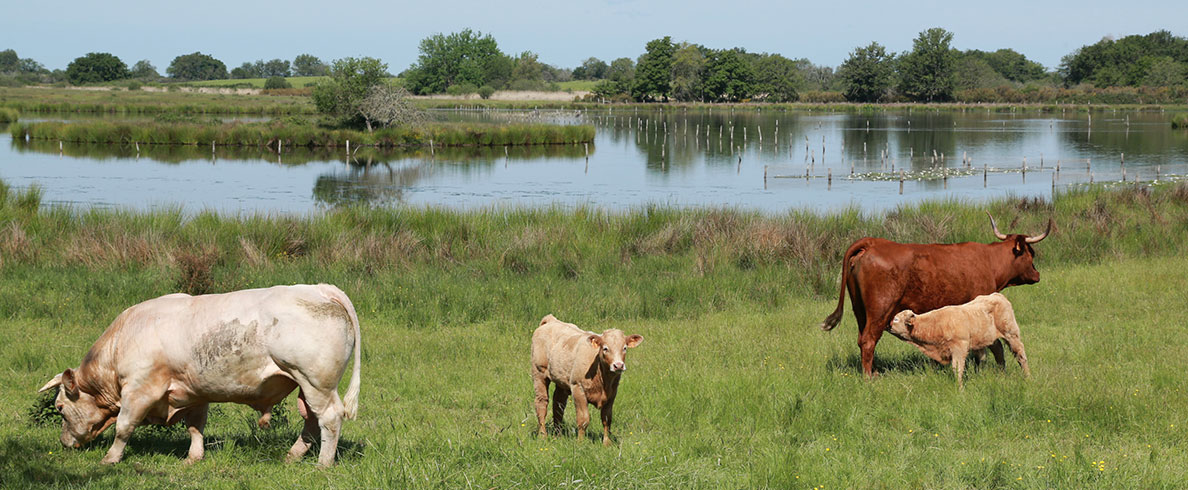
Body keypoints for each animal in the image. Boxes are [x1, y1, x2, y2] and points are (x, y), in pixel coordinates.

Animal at [38, 283, 361, 466]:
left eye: (60, 407)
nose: (63, 443)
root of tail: (320, 288)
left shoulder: (139, 390)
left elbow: (123, 427)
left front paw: (110, 459)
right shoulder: (193, 392)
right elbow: (195, 427)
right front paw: (193, 458)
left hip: (317, 383)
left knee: (329, 419)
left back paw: (323, 464)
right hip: (306, 386)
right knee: (311, 421)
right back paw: (293, 456)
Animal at [529, 316, 641, 444]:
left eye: (625, 348)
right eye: (605, 348)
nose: (618, 365)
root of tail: (551, 320)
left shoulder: (612, 393)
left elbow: (606, 419)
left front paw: (606, 443)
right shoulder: (578, 388)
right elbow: (583, 419)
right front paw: (580, 442)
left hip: (561, 380)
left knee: (558, 404)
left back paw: (558, 434)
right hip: (539, 373)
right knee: (542, 403)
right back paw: (543, 436)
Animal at [893, 292, 1031, 387]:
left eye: (896, 319)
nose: (888, 325)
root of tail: (997, 295)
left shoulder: (959, 347)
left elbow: (957, 368)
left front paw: (959, 388)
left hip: (1011, 334)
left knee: (1020, 354)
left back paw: (1027, 376)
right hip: (990, 338)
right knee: (998, 352)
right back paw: (1001, 373)